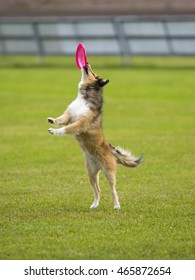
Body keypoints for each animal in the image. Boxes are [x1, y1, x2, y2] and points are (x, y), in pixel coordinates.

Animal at [47, 63, 142, 208]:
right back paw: (95, 205)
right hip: (90, 173)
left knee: (113, 190)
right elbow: (61, 120)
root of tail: (111, 152)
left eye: (94, 73)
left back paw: (116, 206)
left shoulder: (80, 124)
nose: (87, 64)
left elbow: (67, 128)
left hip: (109, 172)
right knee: (98, 190)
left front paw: (55, 131)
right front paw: (52, 121)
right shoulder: (68, 116)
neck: (84, 98)